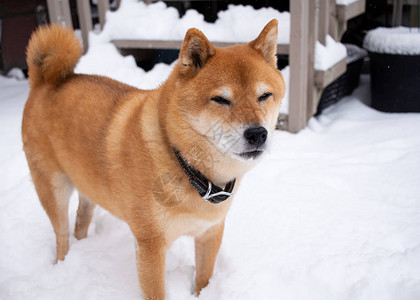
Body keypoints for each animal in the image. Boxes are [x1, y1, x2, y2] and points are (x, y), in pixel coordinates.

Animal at [22, 19, 286, 298]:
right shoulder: (150, 246)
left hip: (88, 186)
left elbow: (203, 278)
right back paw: (63, 264)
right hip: (53, 189)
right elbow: (157, 291)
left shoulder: (210, 232)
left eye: (264, 96)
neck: (187, 167)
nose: (258, 133)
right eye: (221, 99)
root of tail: (42, 81)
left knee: (80, 222)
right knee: (62, 235)